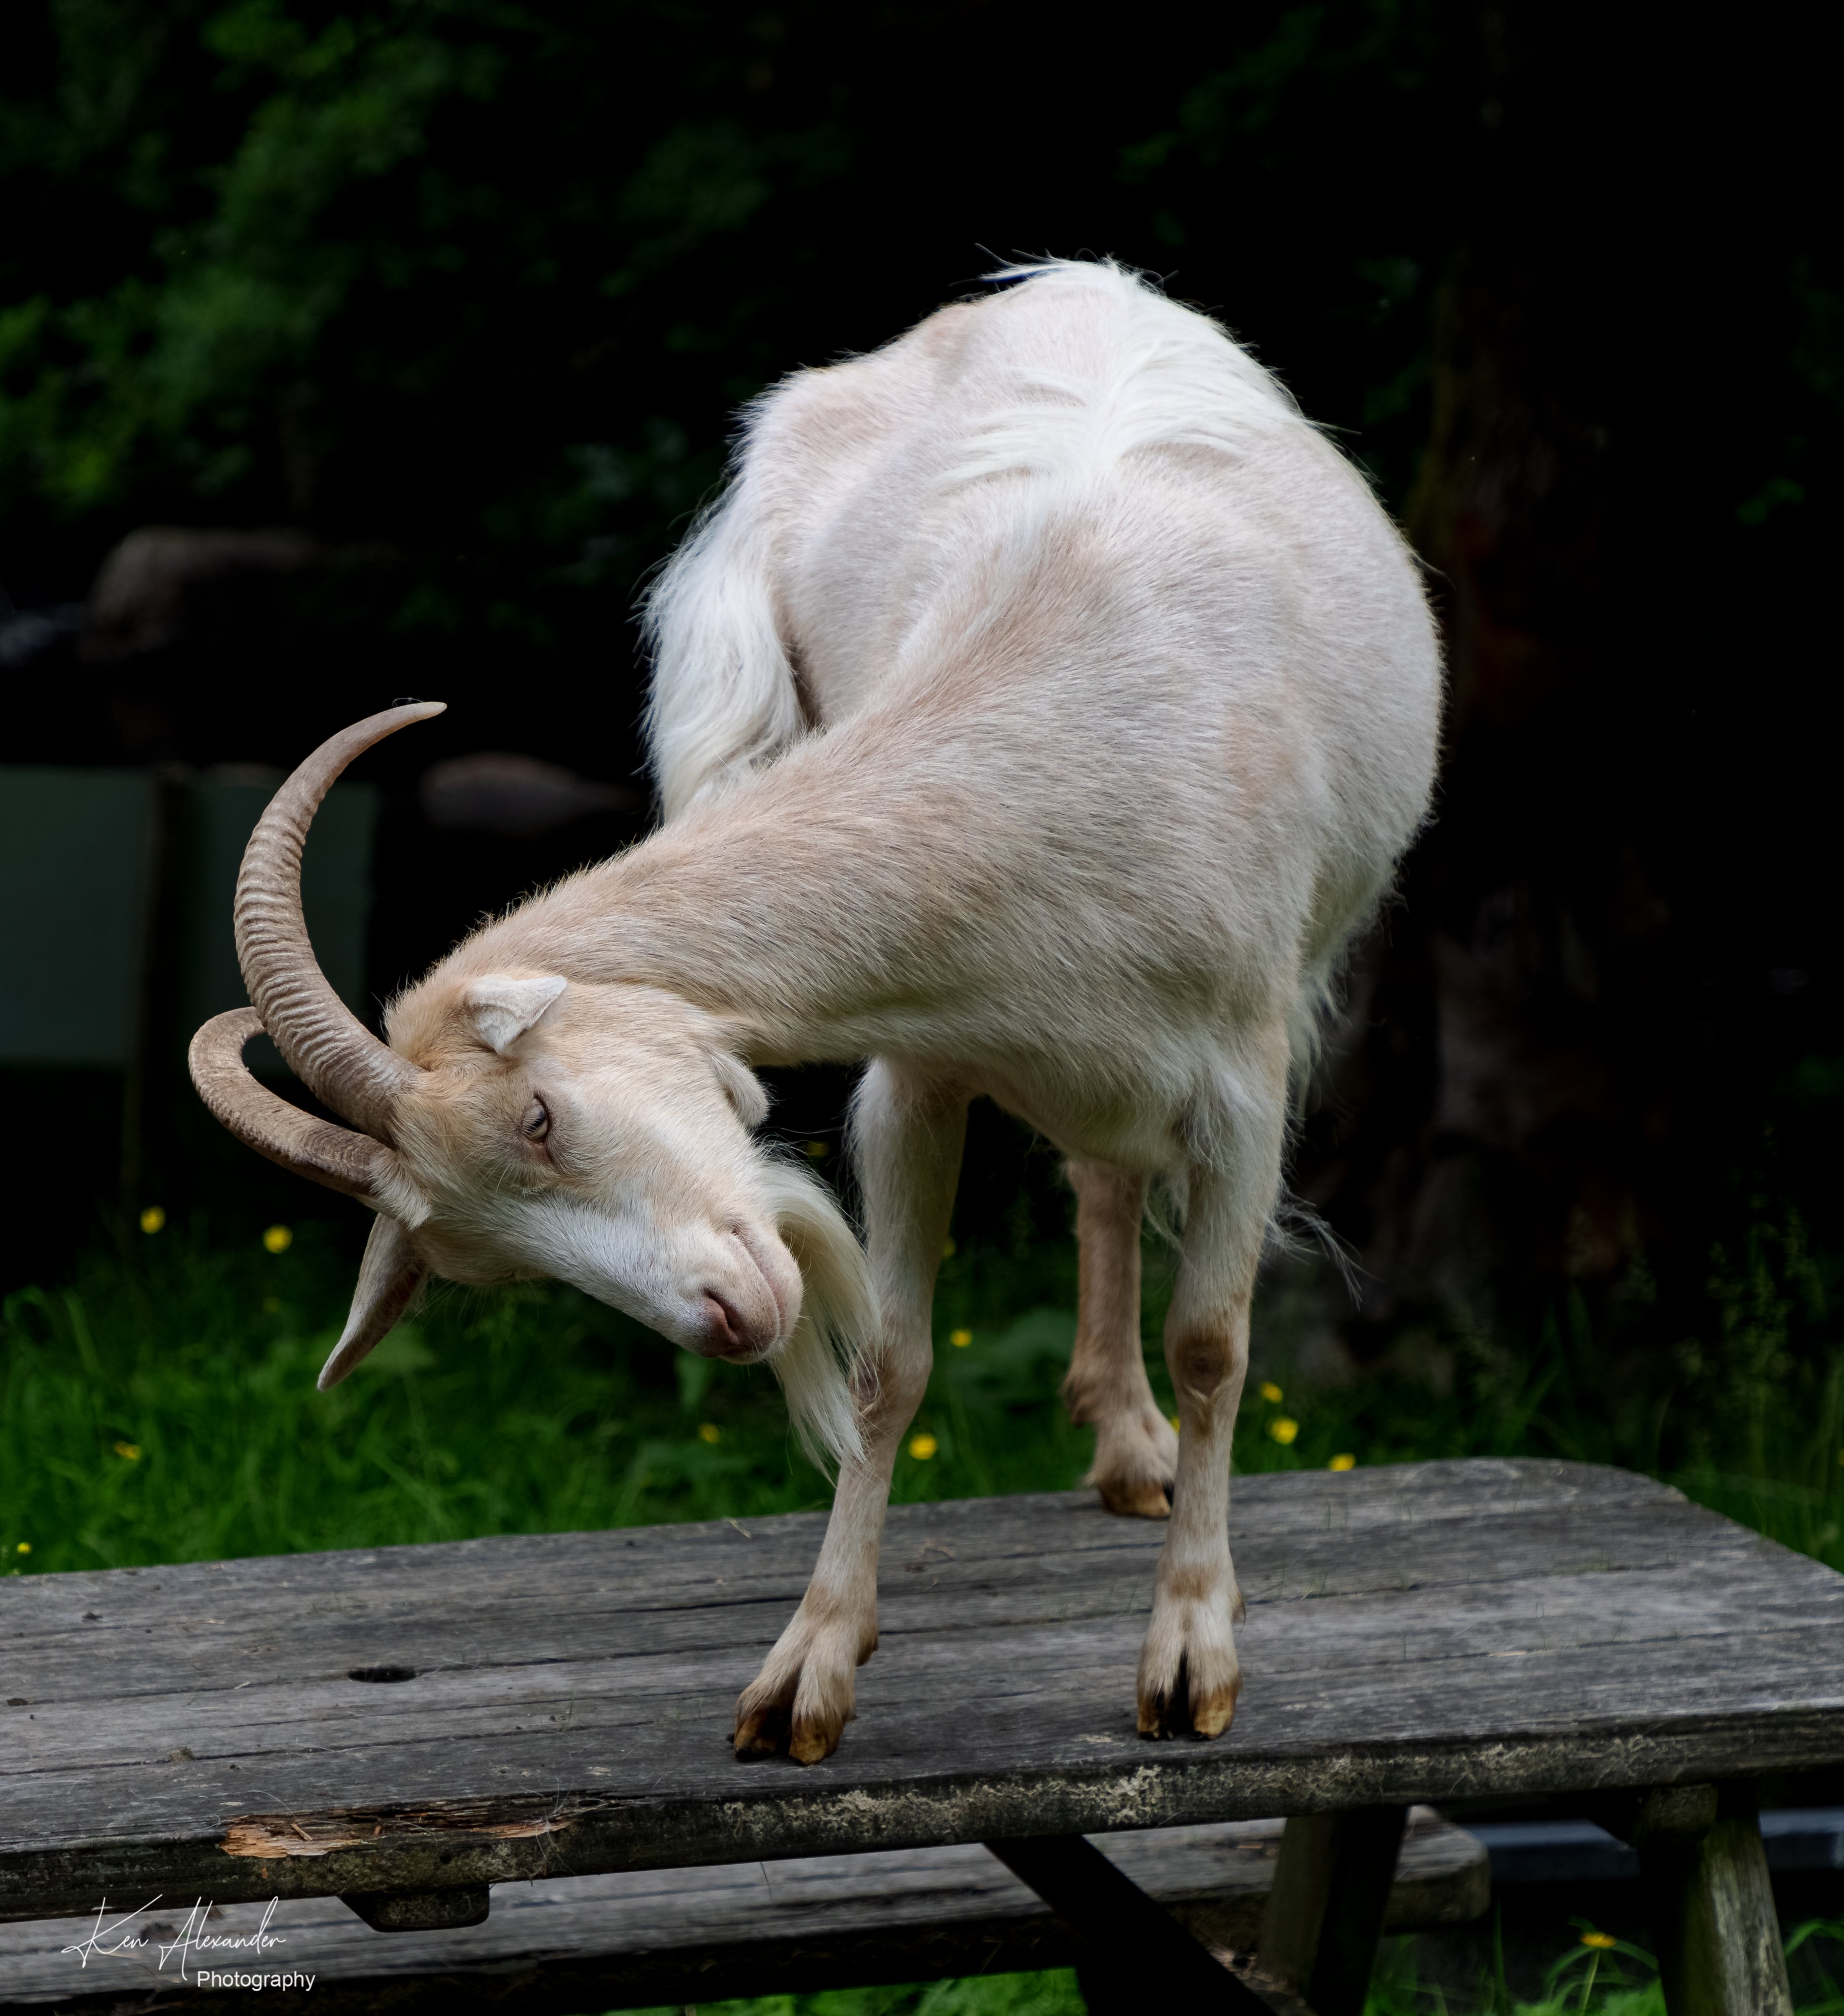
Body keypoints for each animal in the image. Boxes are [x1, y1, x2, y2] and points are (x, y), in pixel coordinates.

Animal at [198, 260, 1443, 1758]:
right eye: (482, 1261)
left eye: (542, 1114)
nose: (729, 1321)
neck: (1069, 741)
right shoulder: (925, 1063)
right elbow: (886, 1365)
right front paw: (806, 1670)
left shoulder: (1244, 1077)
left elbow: (1214, 1344)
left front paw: (1193, 1652)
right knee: (1093, 1171)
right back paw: (1120, 1441)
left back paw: (1142, 1460)